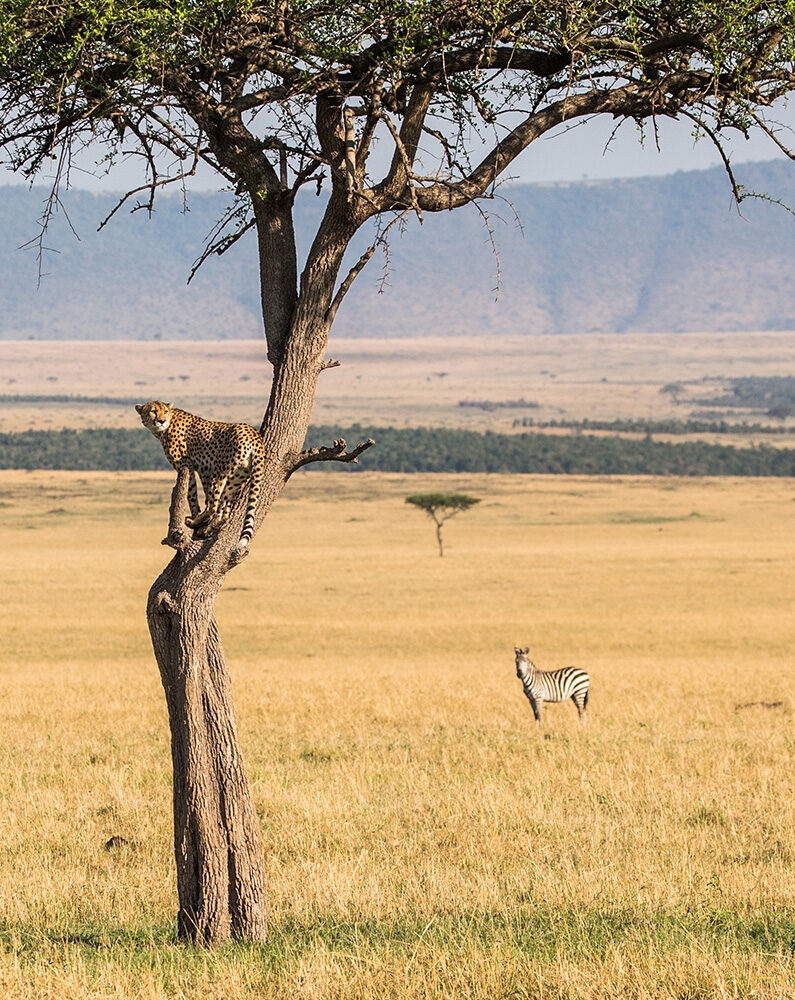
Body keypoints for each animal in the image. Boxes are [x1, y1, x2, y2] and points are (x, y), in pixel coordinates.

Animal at [136, 400, 265, 549]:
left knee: (214, 505)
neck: (165, 429)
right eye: (153, 411)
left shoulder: (186, 466)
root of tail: (254, 433)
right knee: (224, 510)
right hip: (237, 478)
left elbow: (191, 494)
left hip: (219, 472)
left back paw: (194, 523)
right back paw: (208, 528)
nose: (161, 421)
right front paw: (201, 519)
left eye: (165, 411)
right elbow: (202, 495)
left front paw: (195, 516)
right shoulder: (205, 471)